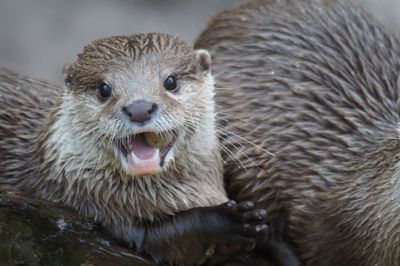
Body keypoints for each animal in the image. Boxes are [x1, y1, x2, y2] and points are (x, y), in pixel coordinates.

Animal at [0, 33, 268, 266]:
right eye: (104, 89)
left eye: (171, 82)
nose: (139, 108)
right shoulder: (91, 206)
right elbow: (159, 240)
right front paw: (229, 221)